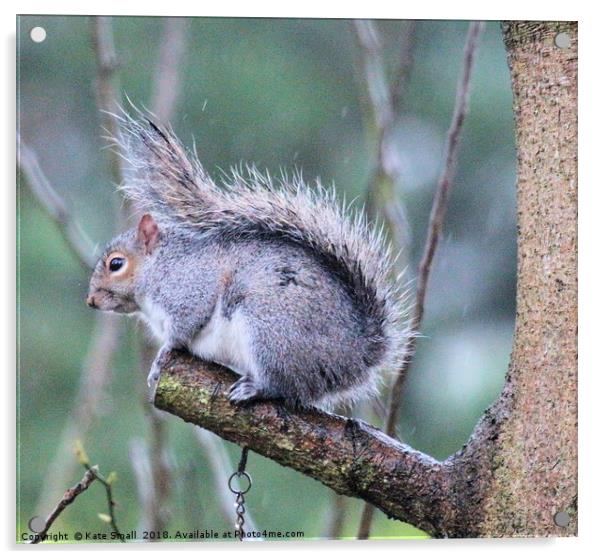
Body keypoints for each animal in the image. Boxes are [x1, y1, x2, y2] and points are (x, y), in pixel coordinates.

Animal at [86, 115, 406, 406]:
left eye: (116, 264)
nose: (91, 301)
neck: (159, 268)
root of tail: (357, 354)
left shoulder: (189, 289)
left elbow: (182, 329)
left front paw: (162, 356)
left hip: (270, 330)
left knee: (283, 385)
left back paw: (254, 389)